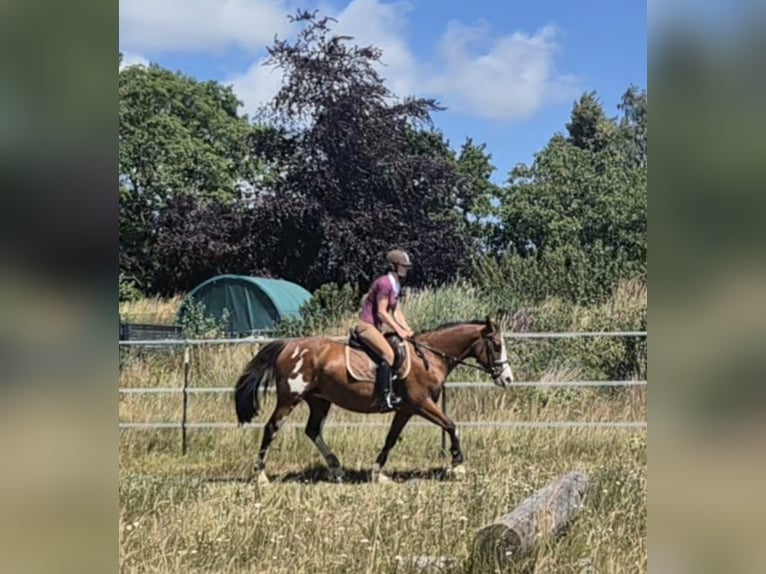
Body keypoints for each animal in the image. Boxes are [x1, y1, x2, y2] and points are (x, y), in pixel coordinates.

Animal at [234, 316, 514, 484]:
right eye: (496, 345)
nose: (508, 378)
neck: (429, 357)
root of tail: (289, 346)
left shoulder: (406, 409)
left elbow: (391, 438)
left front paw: (378, 473)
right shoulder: (421, 404)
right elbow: (452, 425)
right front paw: (458, 465)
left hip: (319, 400)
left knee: (312, 430)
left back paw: (336, 469)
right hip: (290, 398)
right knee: (271, 428)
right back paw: (261, 476)